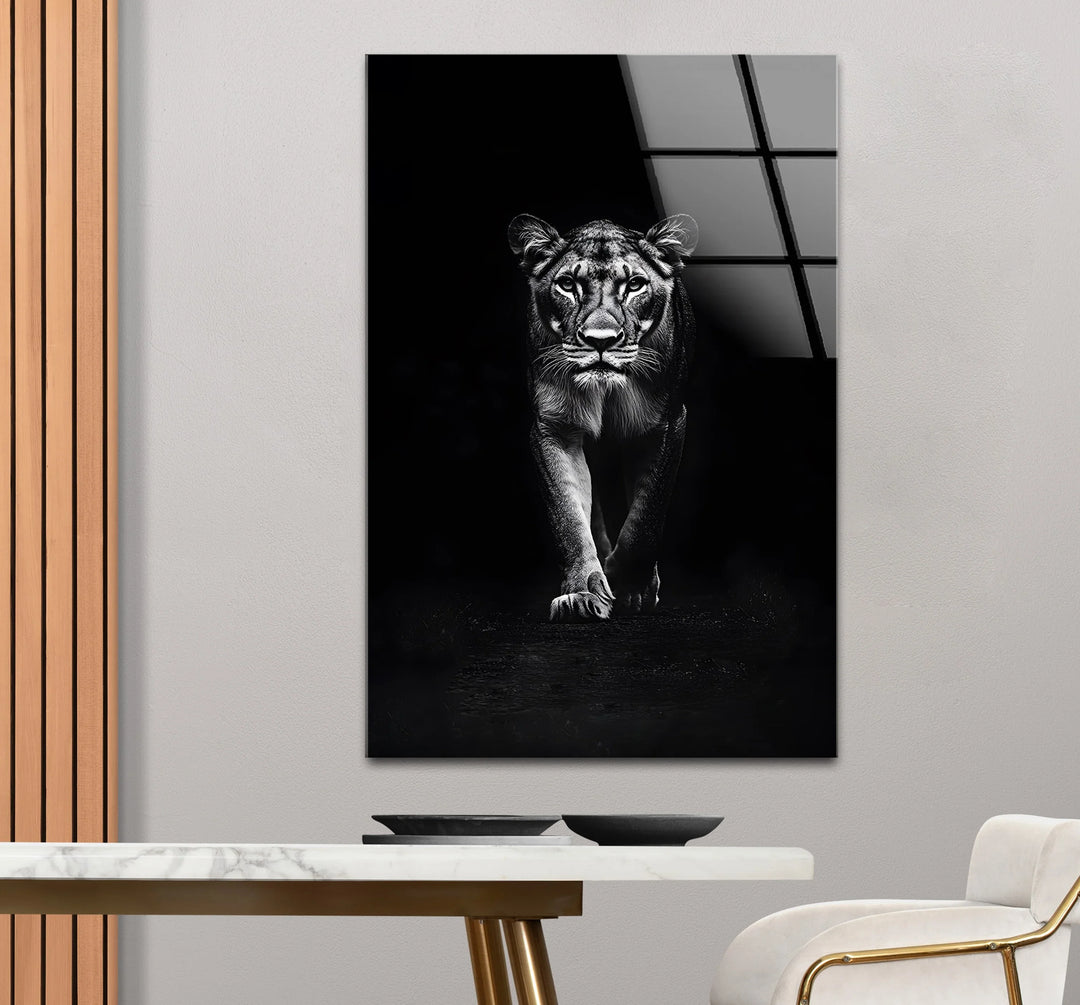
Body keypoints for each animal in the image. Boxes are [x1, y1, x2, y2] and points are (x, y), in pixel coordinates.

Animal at [507, 213, 698, 622]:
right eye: (567, 285)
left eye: (635, 285)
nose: (600, 340)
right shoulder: (553, 429)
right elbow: (568, 514)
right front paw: (582, 592)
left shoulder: (665, 424)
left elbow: (647, 514)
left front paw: (630, 586)